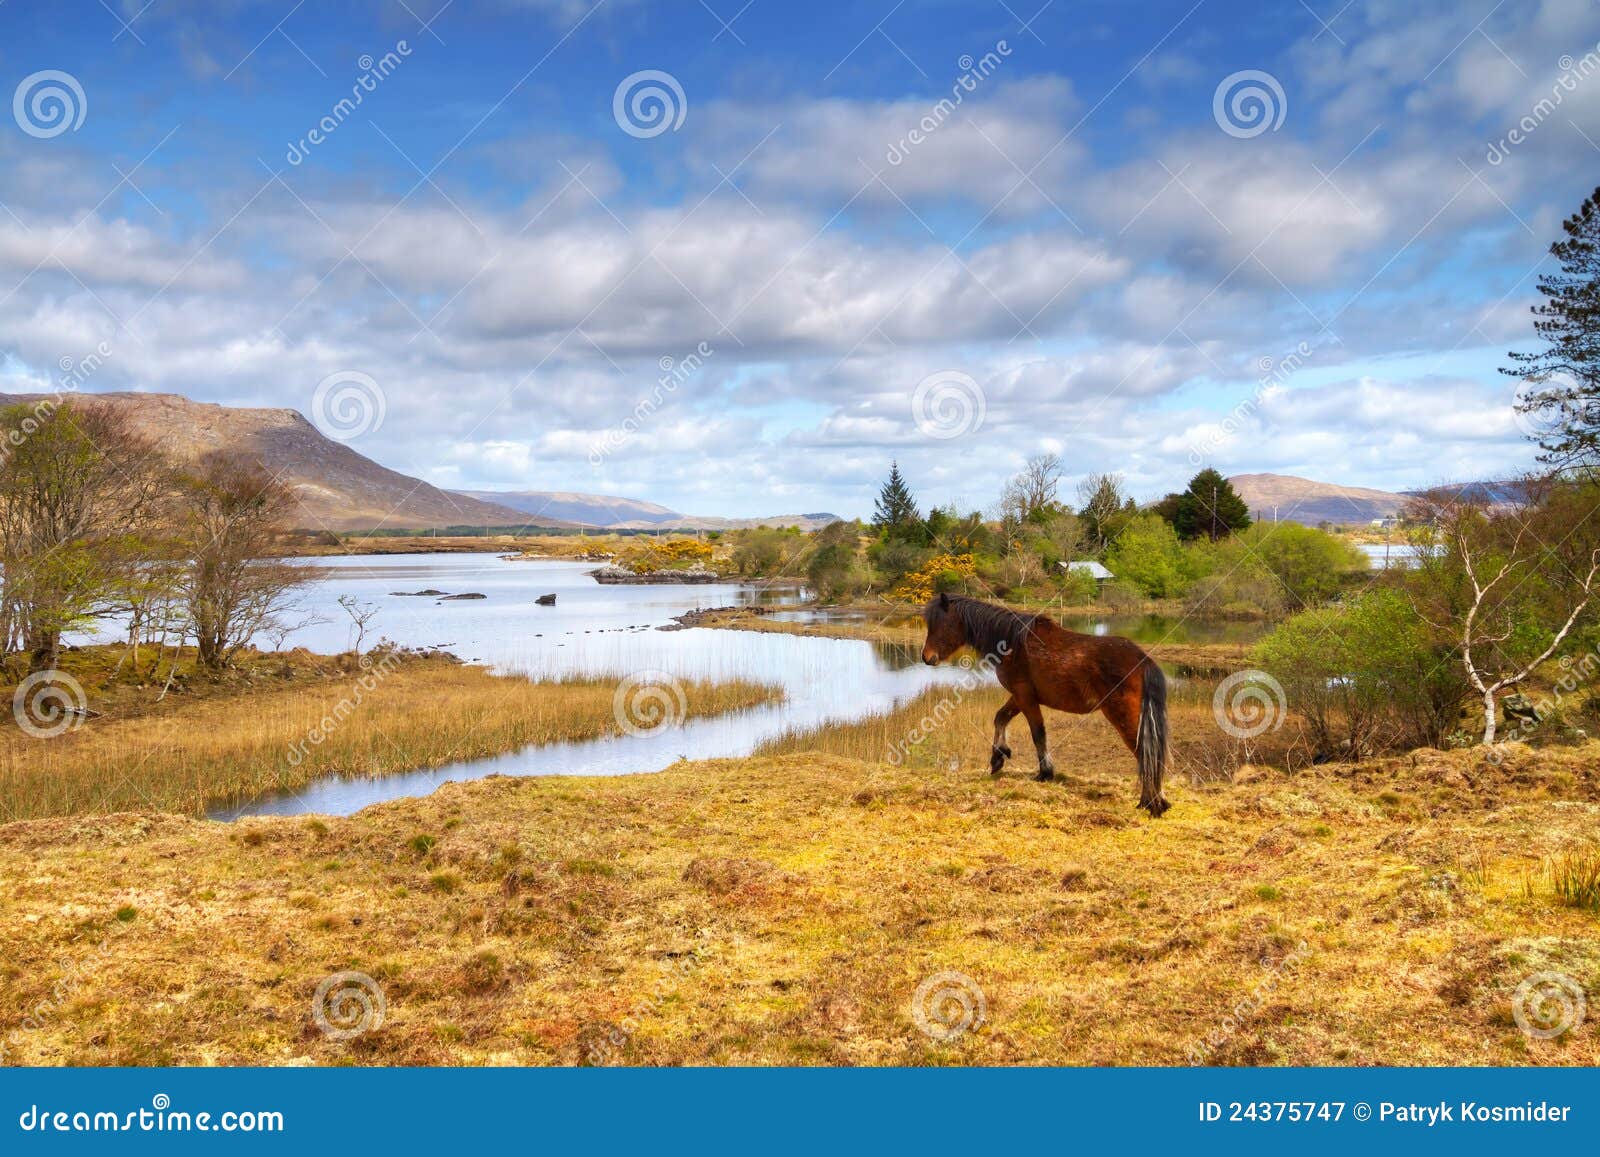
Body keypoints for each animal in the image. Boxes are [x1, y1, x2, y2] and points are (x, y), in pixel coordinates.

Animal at [919, 593, 1170, 817]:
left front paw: (1044, 773)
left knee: (1144, 753)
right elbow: (1000, 717)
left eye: (940, 624)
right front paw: (998, 757)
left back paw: (1151, 804)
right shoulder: (1019, 696)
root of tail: (1143, 661)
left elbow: (1038, 734)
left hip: (1122, 715)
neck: (1013, 643)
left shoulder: (1025, 696)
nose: (926, 657)